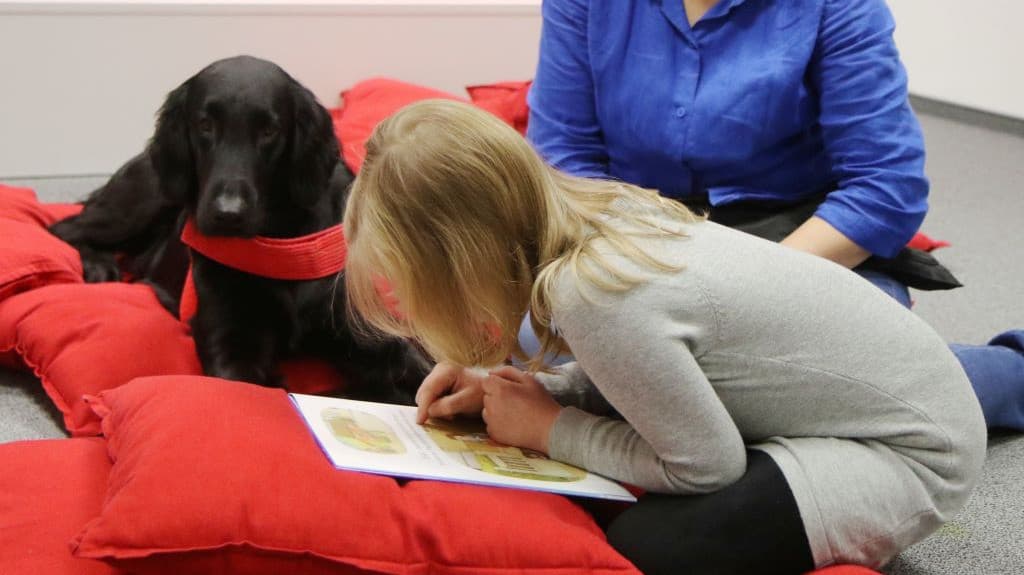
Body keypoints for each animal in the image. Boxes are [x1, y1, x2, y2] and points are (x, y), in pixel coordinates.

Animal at [48, 55, 429, 403]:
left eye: (269, 131)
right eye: (204, 124)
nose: (227, 213)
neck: (279, 243)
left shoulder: (363, 331)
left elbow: (415, 366)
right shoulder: (231, 343)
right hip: (142, 200)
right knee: (64, 226)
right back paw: (98, 264)